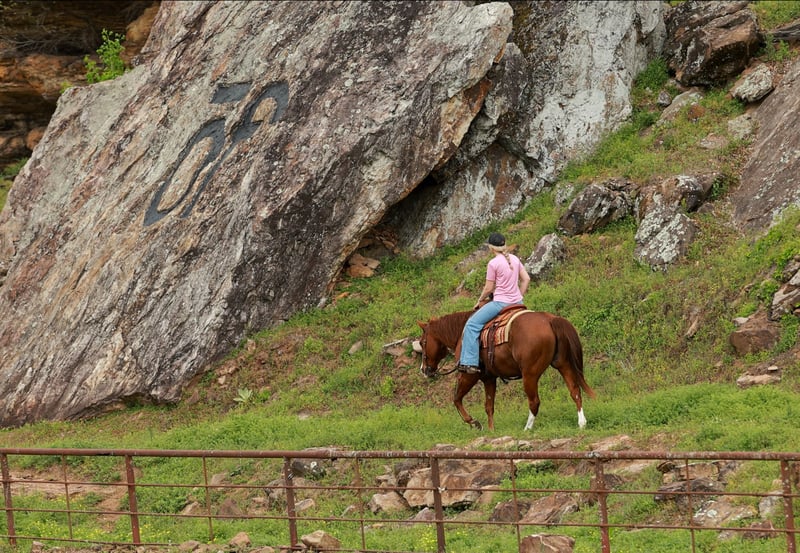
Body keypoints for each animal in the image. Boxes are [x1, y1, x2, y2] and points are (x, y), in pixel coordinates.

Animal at [417, 308, 595, 431]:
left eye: (422, 342)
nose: (424, 370)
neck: (462, 332)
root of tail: (550, 319)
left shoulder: (469, 375)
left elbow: (456, 399)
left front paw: (475, 423)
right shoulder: (489, 378)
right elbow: (489, 406)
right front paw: (491, 430)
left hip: (529, 374)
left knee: (534, 401)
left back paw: (527, 428)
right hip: (563, 364)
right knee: (575, 391)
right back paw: (582, 423)